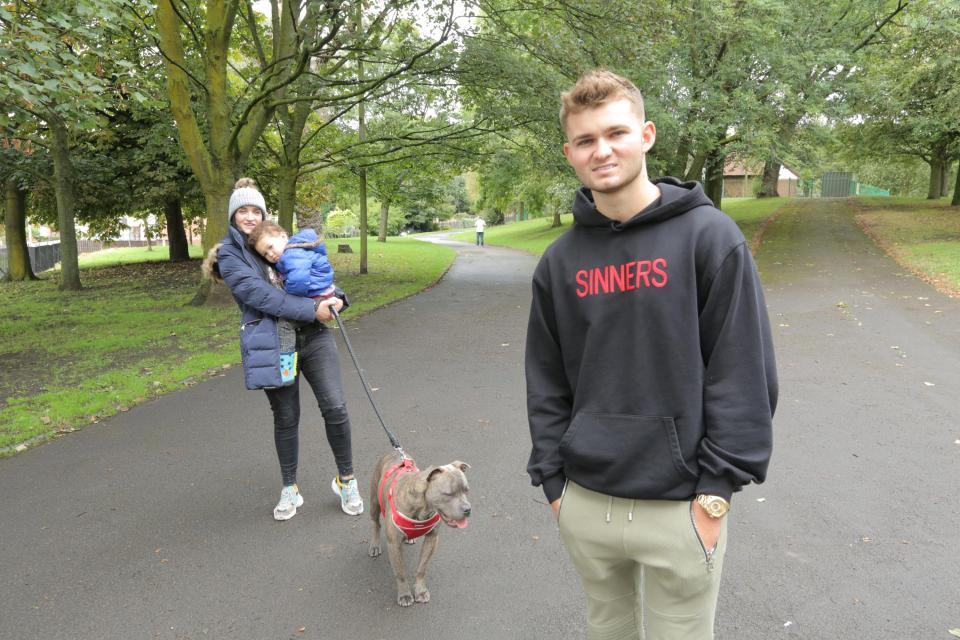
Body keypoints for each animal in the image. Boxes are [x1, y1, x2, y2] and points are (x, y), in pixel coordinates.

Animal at [368, 450, 472, 604]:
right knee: (375, 523)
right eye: (448, 494)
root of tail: (393, 452)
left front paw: (420, 591)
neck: (423, 507)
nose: (468, 509)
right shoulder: (394, 544)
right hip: (374, 503)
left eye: (466, 490)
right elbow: (400, 572)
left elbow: (422, 568)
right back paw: (375, 545)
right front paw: (404, 594)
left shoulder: (432, 539)